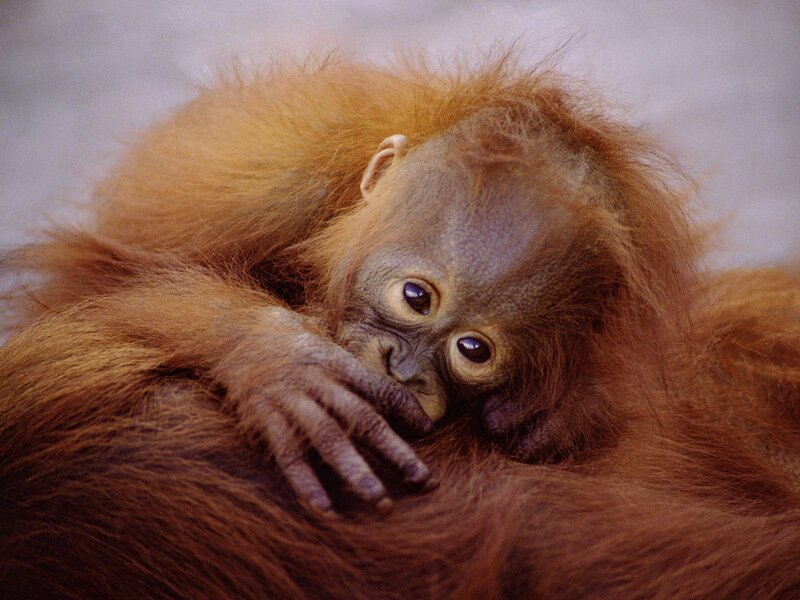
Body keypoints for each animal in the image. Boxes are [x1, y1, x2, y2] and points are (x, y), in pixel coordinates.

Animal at [2, 52, 800, 598]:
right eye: (416, 297)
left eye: (473, 350)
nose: (403, 371)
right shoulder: (268, 182)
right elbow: (104, 280)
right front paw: (281, 364)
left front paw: (563, 410)